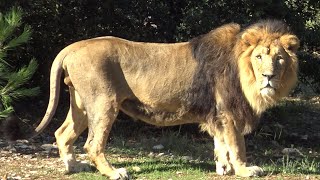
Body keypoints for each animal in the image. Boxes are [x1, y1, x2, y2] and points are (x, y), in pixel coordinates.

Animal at [9, 19, 300, 179]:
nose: (269, 77)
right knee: (92, 144)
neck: (243, 72)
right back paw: (114, 173)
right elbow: (238, 145)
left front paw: (223, 167)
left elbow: (221, 144)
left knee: (62, 133)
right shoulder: (228, 111)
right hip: (103, 102)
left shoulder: (217, 114)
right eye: (259, 57)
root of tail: (73, 46)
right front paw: (244, 170)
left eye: (279, 58)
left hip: (80, 103)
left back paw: (73, 167)